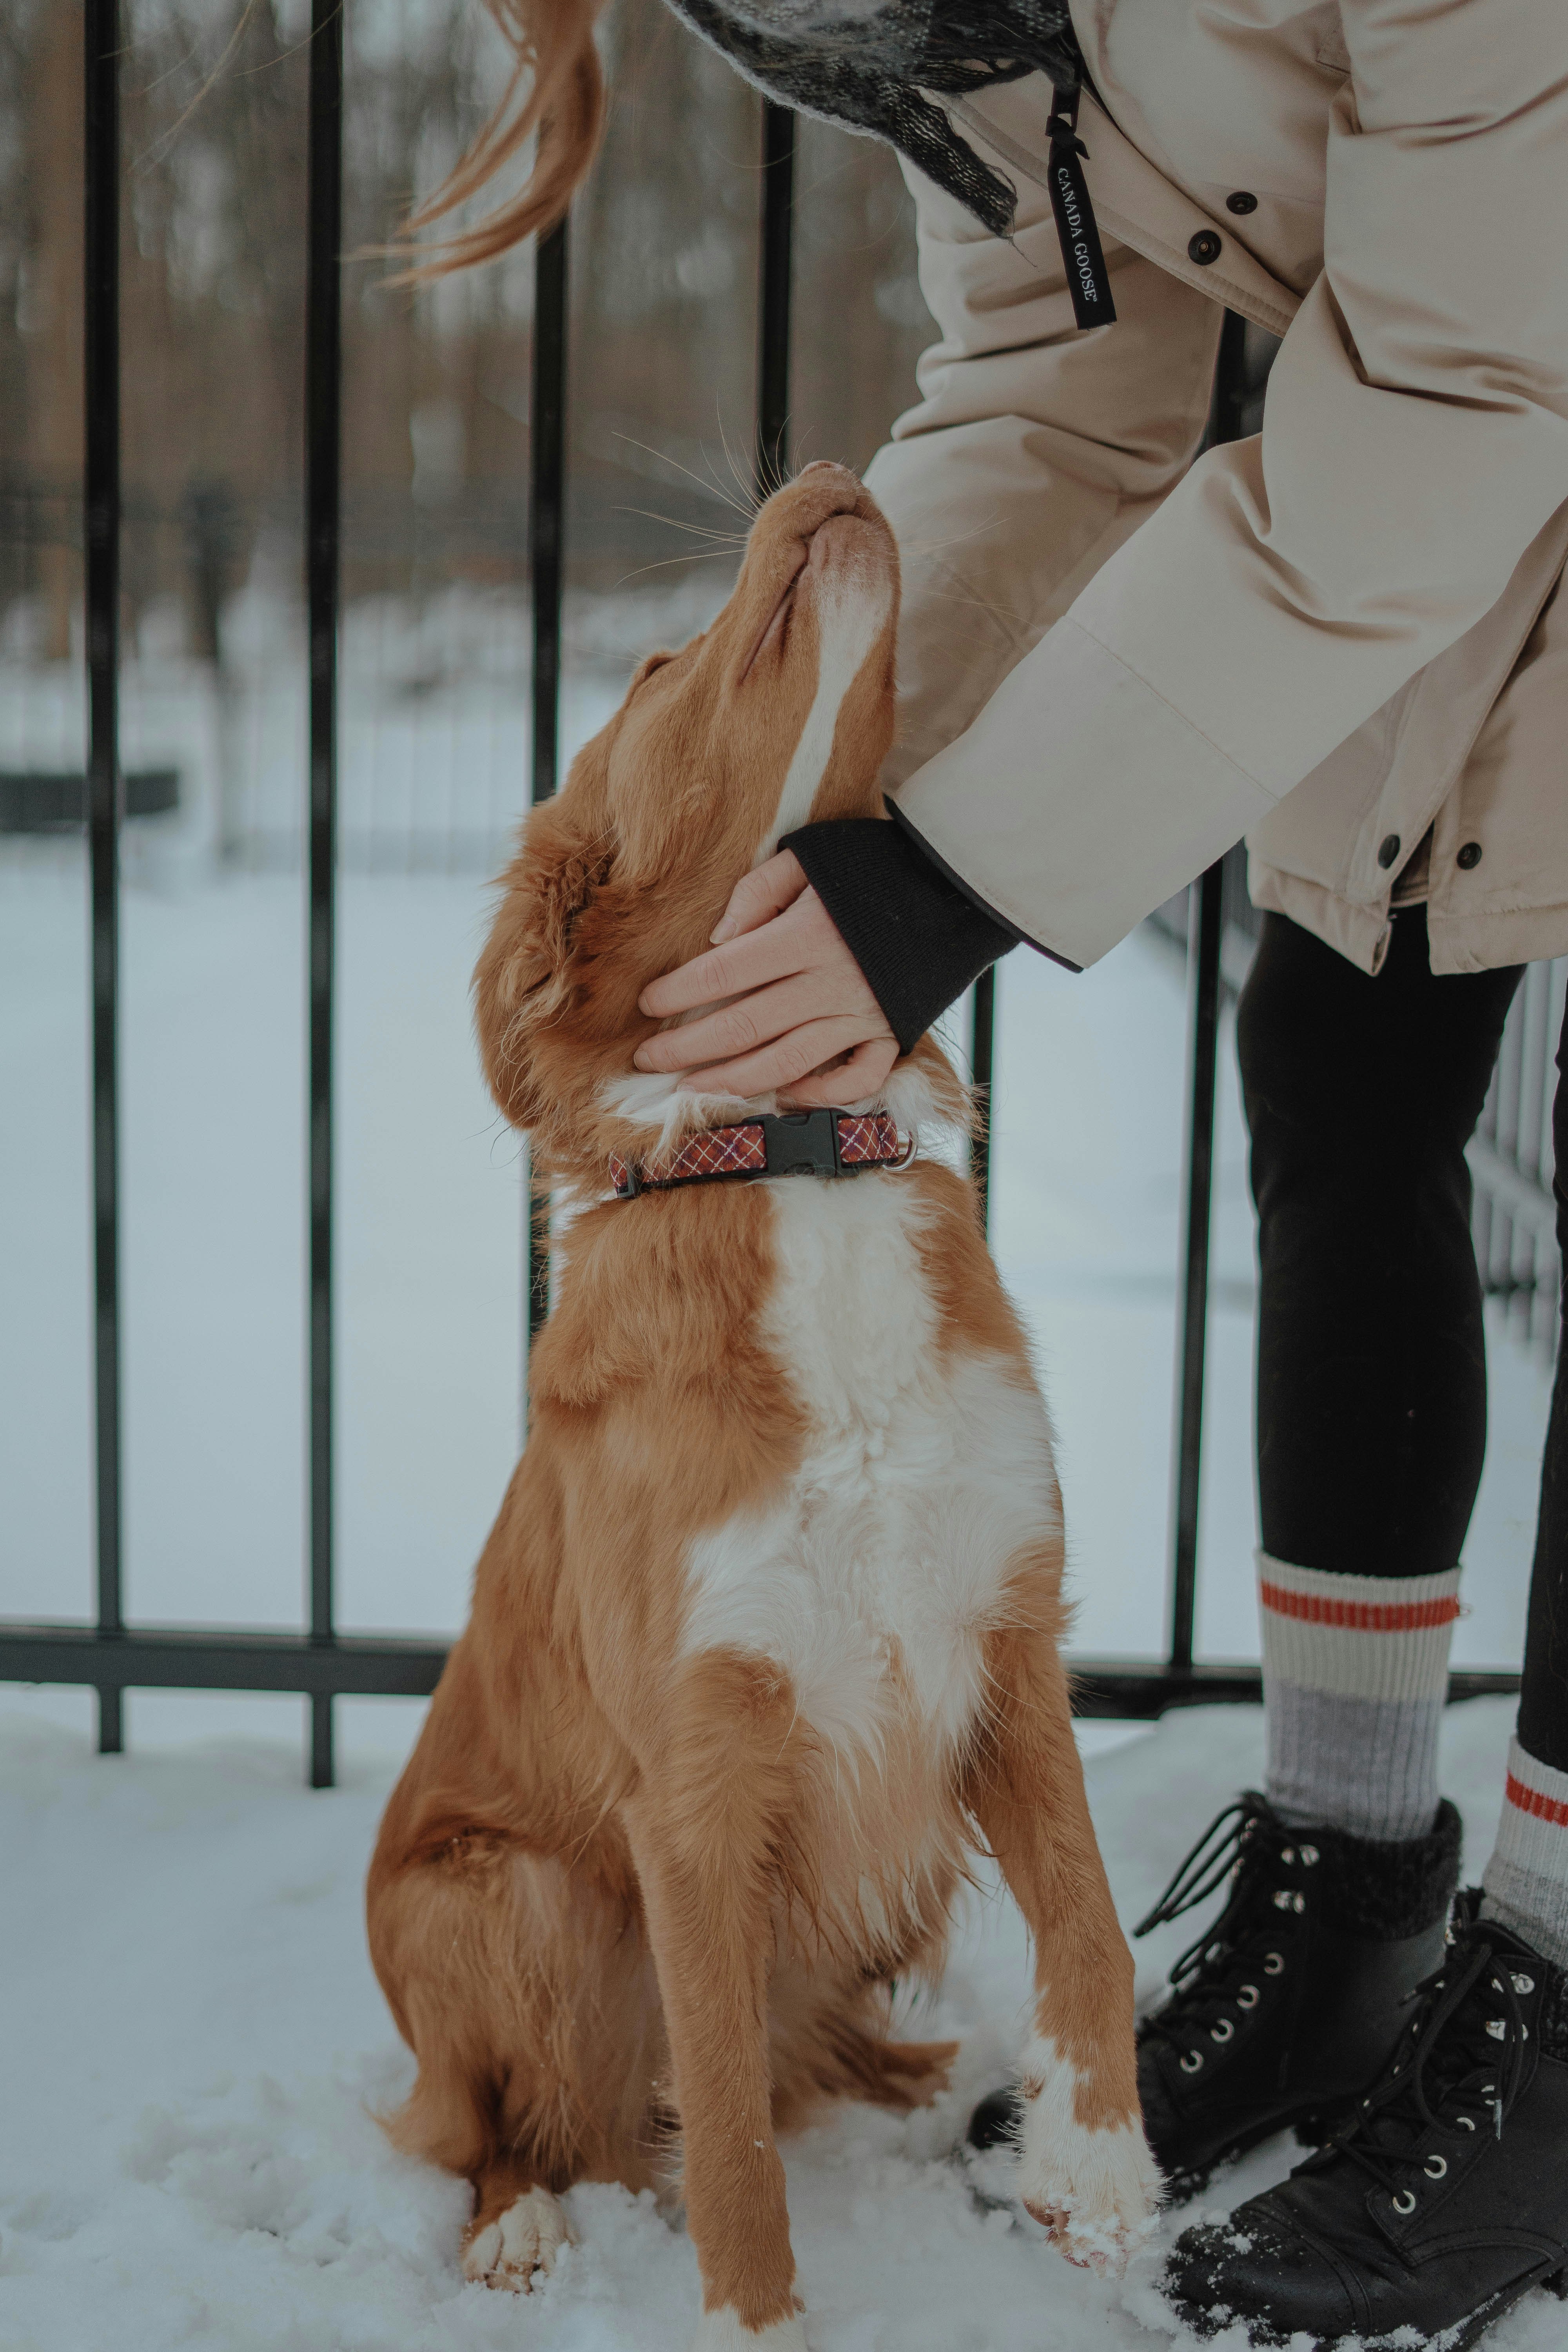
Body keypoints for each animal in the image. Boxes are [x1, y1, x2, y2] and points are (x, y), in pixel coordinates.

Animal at [362, 454, 1161, 2333]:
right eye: (660, 666)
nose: (831, 470)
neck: (793, 1153)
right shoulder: (697, 1772)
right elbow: (721, 2114)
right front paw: (758, 2317)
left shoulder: (1000, 1637)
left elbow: (1095, 1925)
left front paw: (1096, 2169)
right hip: (498, 1895)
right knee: (515, 2122)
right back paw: (517, 2226)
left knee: (802, 2060)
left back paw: (928, 2084)